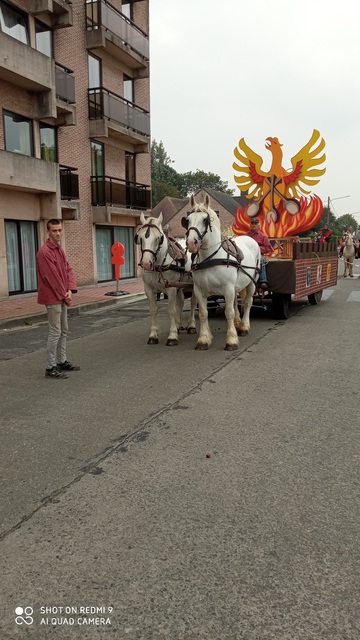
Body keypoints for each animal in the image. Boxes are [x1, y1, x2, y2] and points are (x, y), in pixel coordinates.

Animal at [136, 212, 197, 344]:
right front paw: (153, 335)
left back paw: (191, 326)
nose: (146, 264)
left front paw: (172, 336)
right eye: (139, 237)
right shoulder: (148, 289)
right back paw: (179, 325)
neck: (159, 264)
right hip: (180, 285)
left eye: (159, 238)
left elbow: (171, 310)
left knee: (193, 303)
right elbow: (153, 310)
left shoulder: (171, 289)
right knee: (181, 302)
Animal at [183, 195, 262, 352]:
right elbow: (203, 313)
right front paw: (204, 339)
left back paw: (244, 326)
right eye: (187, 220)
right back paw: (238, 323)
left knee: (247, 302)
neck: (211, 257)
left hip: (251, 282)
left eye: (205, 220)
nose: (191, 243)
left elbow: (229, 312)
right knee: (237, 303)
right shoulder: (199, 290)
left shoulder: (228, 289)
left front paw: (231, 340)